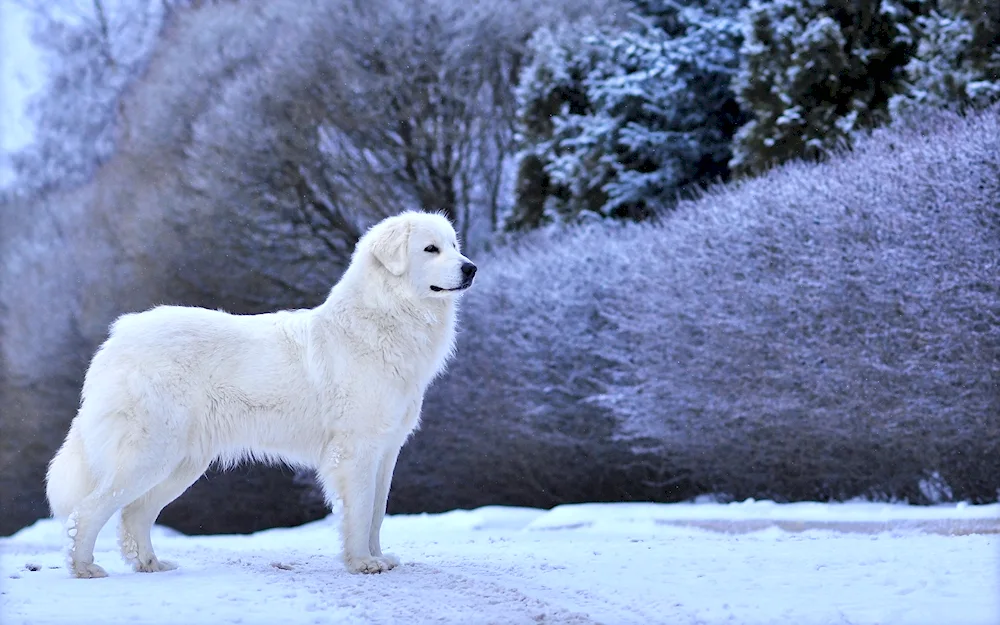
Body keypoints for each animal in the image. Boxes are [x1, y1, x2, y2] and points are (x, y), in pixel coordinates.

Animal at [48, 210, 478, 576]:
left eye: (454, 244)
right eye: (431, 249)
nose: (471, 267)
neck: (384, 319)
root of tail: (117, 337)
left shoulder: (386, 452)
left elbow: (377, 512)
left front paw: (378, 557)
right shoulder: (356, 451)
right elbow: (358, 512)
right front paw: (361, 563)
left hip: (181, 463)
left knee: (133, 514)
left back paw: (151, 565)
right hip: (149, 455)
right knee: (87, 511)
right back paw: (84, 567)